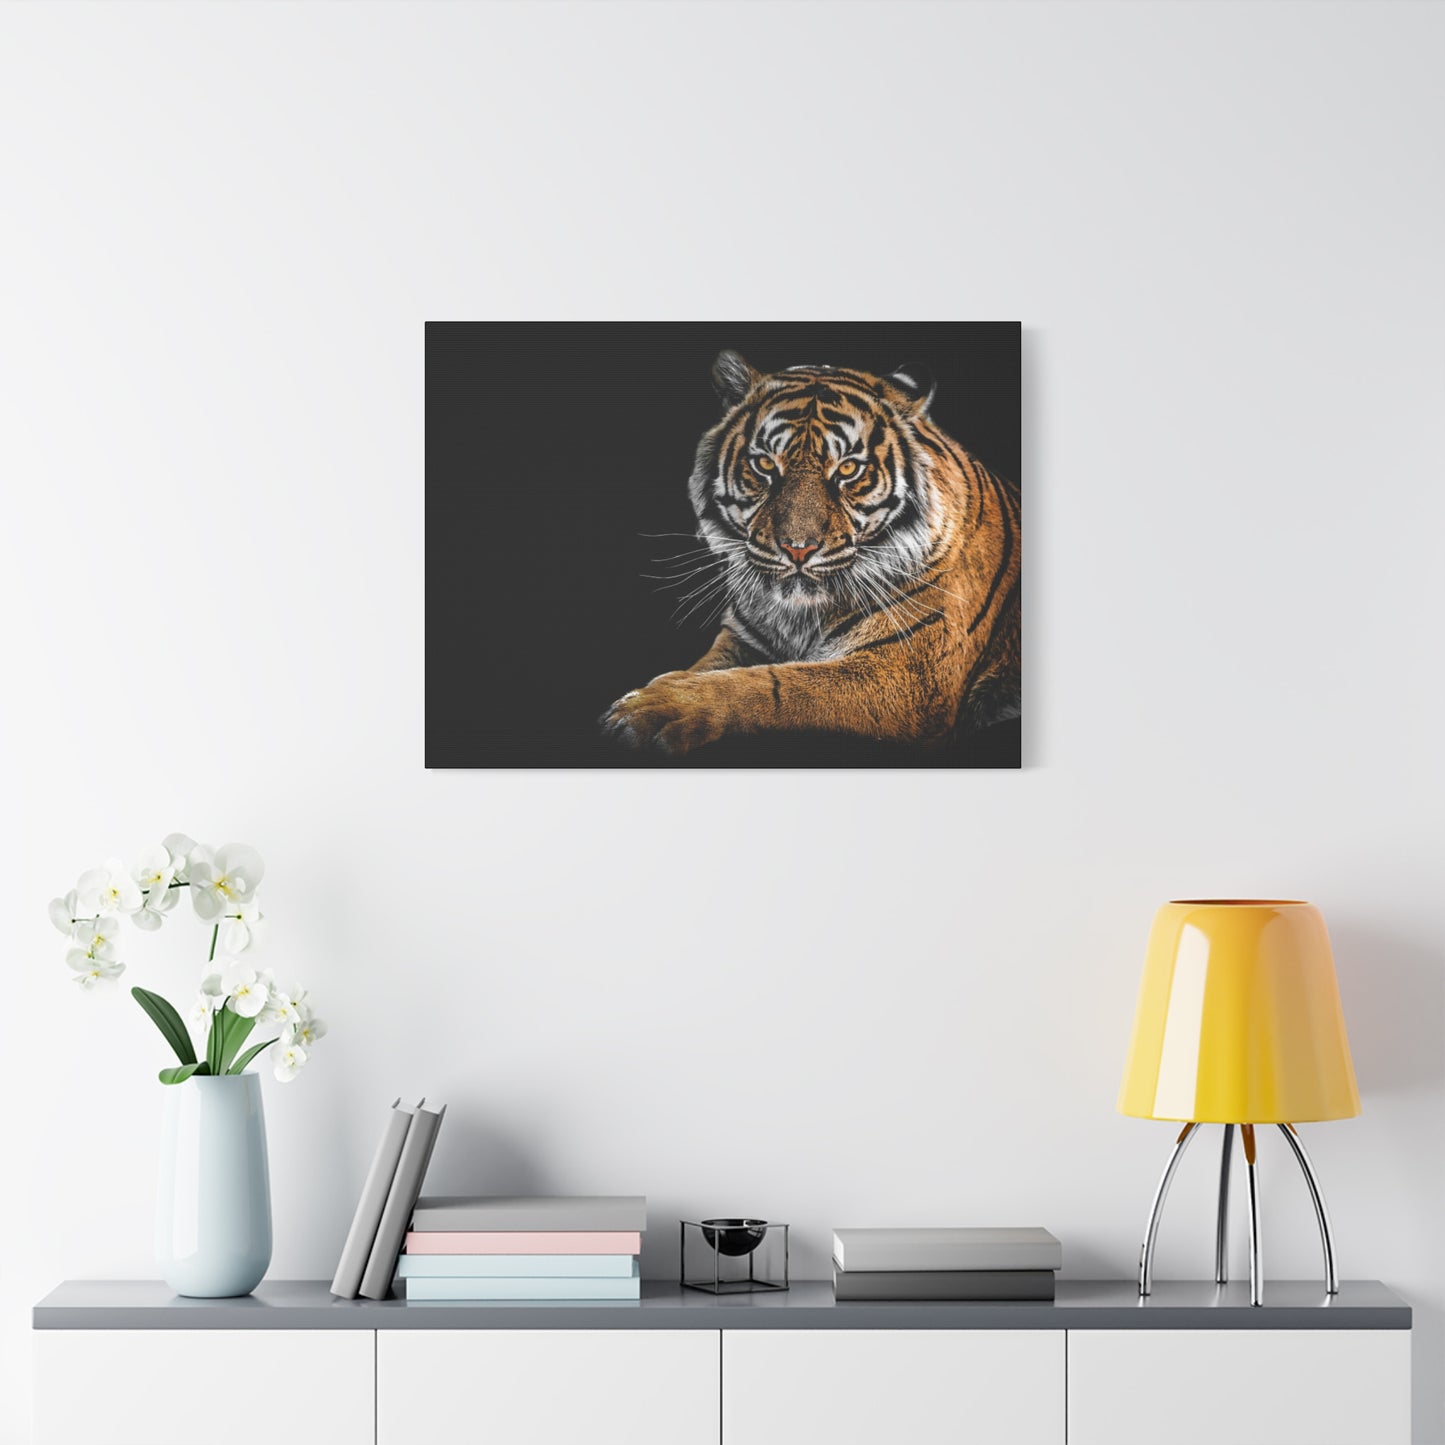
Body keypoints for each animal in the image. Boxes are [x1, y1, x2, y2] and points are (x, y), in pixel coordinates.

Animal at [601, 350, 1020, 757]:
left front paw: (653, 708)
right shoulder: (743, 638)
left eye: (848, 469)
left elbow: (775, 683)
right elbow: (706, 667)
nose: (797, 549)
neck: (800, 616)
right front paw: (656, 688)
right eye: (765, 464)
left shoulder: (908, 676)